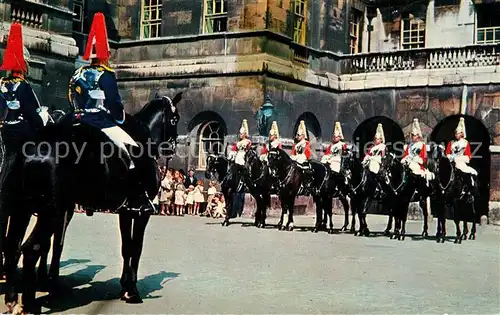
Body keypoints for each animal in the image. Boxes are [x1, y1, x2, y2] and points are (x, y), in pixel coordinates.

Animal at [1, 93, 182, 314]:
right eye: (175, 119)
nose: (171, 148)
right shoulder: (142, 212)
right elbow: (136, 248)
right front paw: (132, 291)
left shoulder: (126, 211)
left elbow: (126, 247)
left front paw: (125, 286)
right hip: (51, 212)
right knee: (31, 249)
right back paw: (29, 303)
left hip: (23, 209)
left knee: (13, 247)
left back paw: (13, 299)